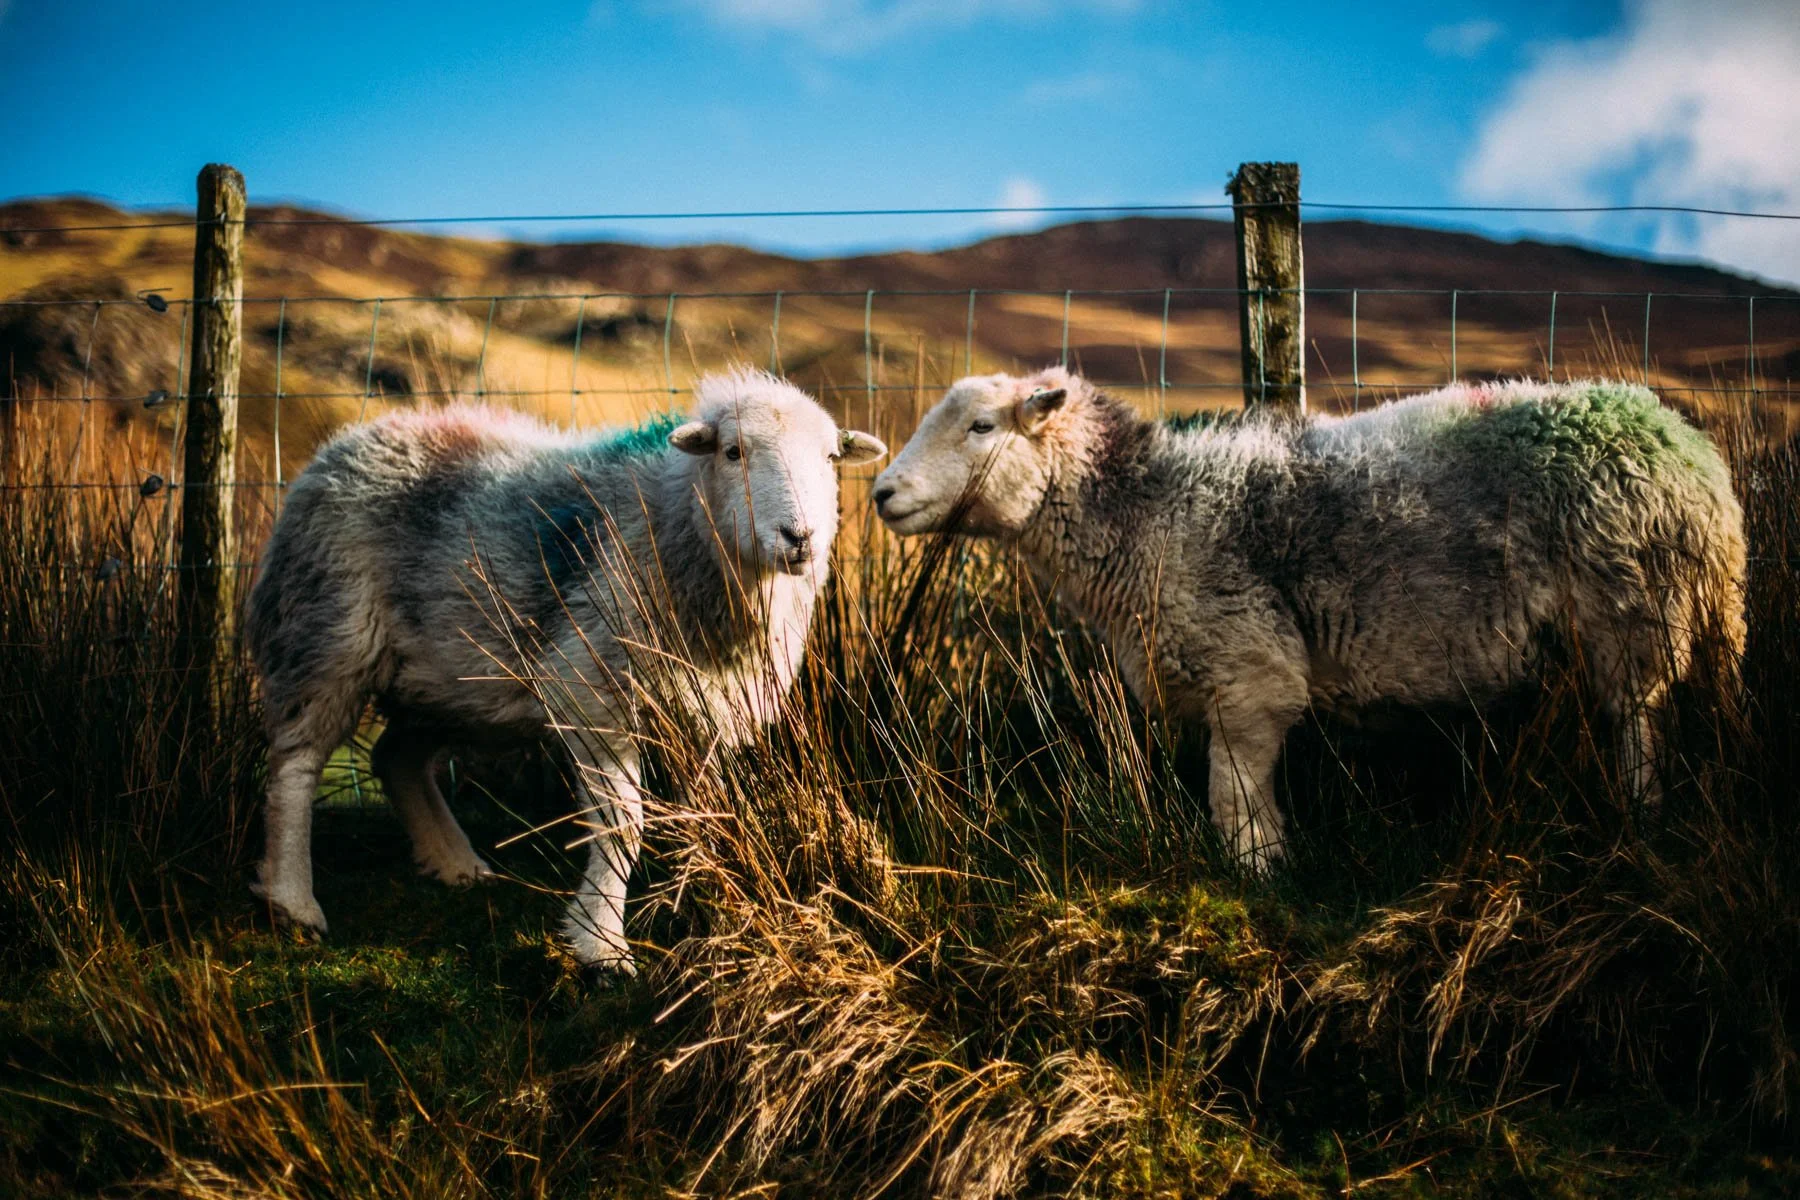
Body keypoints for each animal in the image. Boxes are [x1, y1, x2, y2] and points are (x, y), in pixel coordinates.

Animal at [247, 369, 887, 971]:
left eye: (831, 459)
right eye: (733, 452)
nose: (799, 537)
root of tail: (354, 438)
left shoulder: (706, 710)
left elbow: (705, 814)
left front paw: (715, 904)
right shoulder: (592, 693)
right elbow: (623, 826)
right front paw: (600, 944)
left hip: (449, 680)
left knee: (395, 756)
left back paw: (455, 863)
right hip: (327, 633)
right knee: (296, 765)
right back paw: (293, 901)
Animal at [872, 368, 1746, 868]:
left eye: (982, 426)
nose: (881, 492)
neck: (1151, 513)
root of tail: (1693, 457)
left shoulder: (1250, 678)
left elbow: (1236, 804)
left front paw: (1259, 877)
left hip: (1631, 611)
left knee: (1636, 723)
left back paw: (1641, 822)